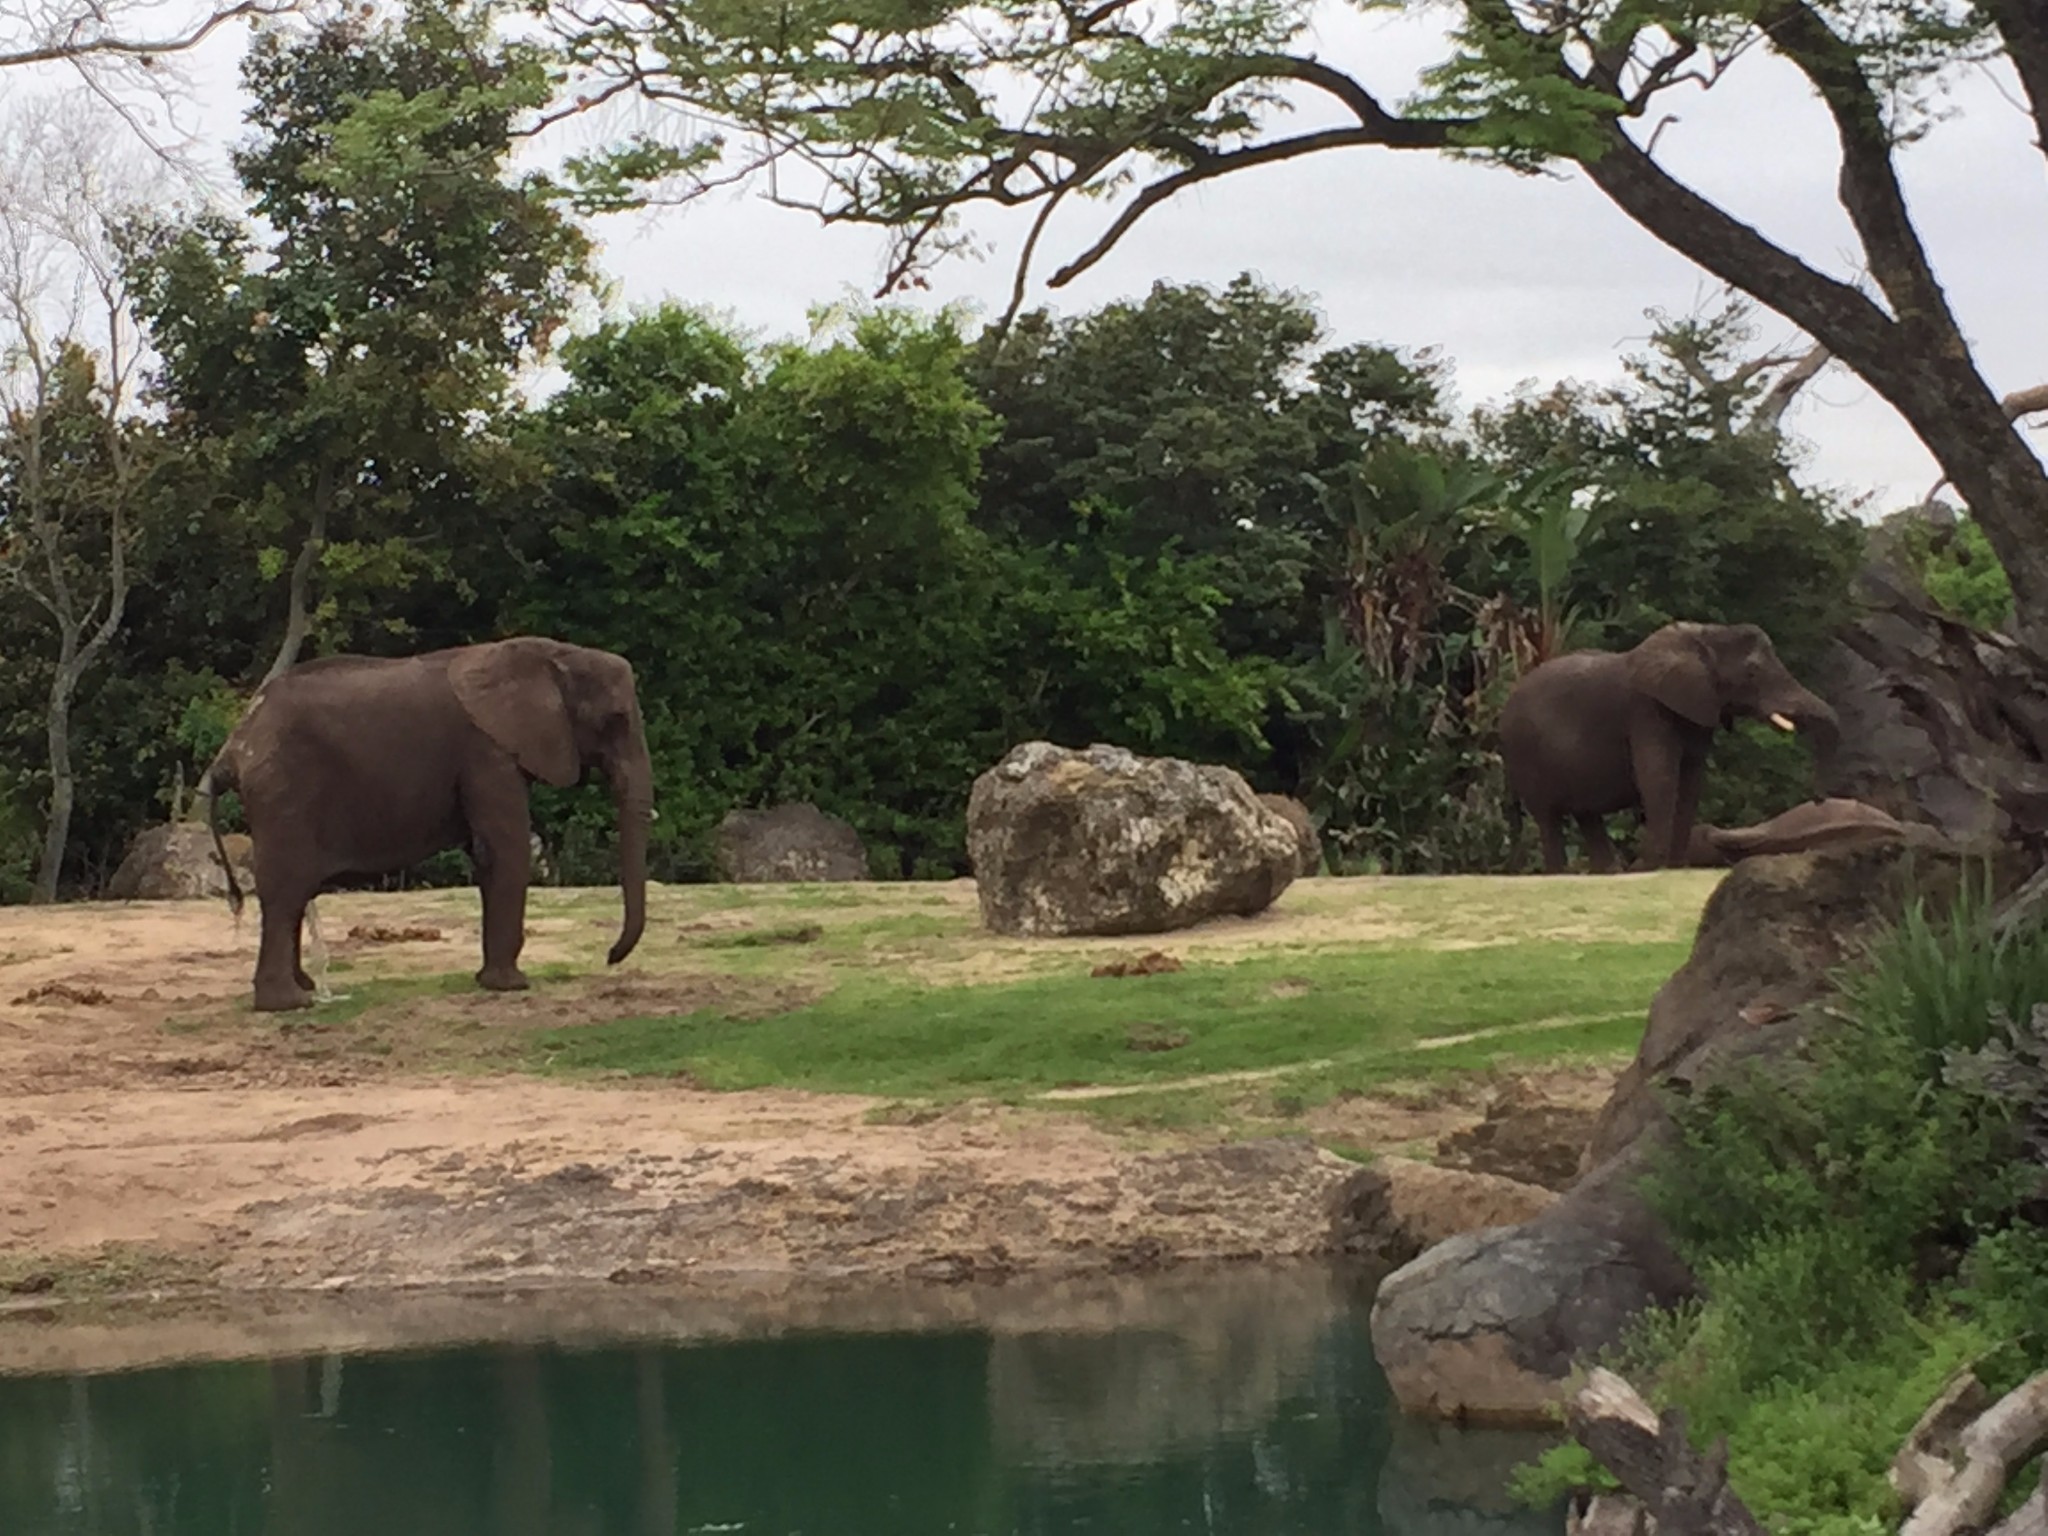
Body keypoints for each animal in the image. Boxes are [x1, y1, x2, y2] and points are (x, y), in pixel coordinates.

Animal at [198, 630, 647, 1015]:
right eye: (616, 719)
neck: (552, 653)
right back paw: (289, 1004)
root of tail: (233, 747)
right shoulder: (488, 753)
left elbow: (485, 855)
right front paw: (511, 986)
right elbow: (504, 849)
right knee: (286, 889)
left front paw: (490, 981)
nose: (609, 957)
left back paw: (304, 988)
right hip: (284, 789)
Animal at [1499, 618, 1851, 872]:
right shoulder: (1646, 711)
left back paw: (1608, 872)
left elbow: (1691, 779)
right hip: (1523, 752)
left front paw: (1674, 866)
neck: (1707, 635)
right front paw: (1649, 868)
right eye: (1752, 672)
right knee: (1549, 817)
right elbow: (1660, 777)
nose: (1819, 799)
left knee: (1586, 814)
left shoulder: (1697, 709)